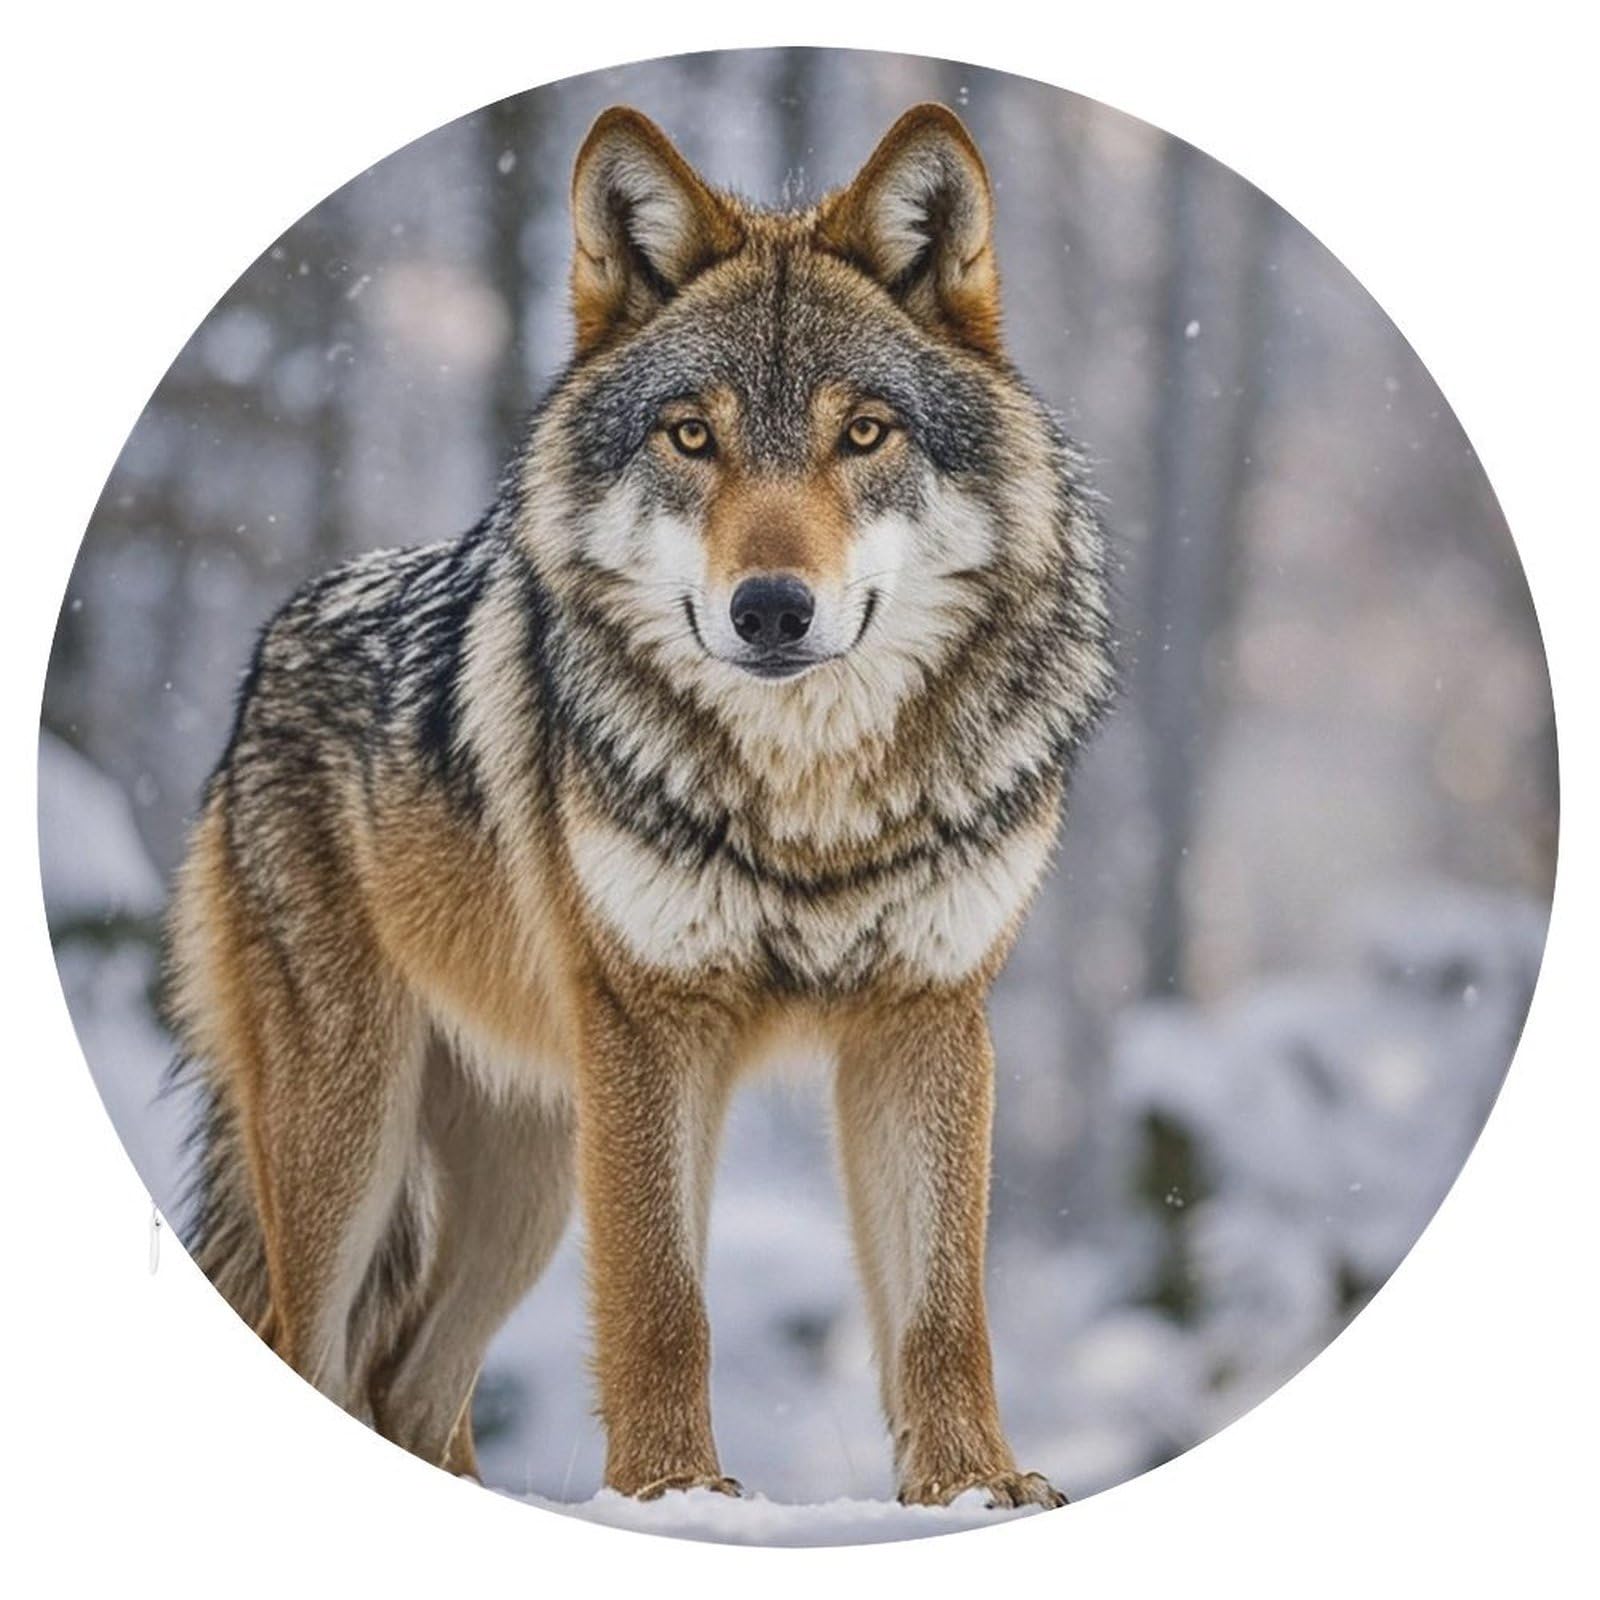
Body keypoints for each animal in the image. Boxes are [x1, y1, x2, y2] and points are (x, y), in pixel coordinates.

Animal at [167, 102, 1112, 1509]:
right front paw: (676, 1496)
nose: (769, 609)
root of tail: (264, 655)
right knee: (317, 1349)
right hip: (360, 1134)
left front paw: (973, 1489)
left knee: (411, 1388)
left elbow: (945, 1308)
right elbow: (662, 1302)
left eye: (864, 434)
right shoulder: (651, 1024)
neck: (809, 805)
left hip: (530, 1168)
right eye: (690, 436)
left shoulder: (928, 1016)